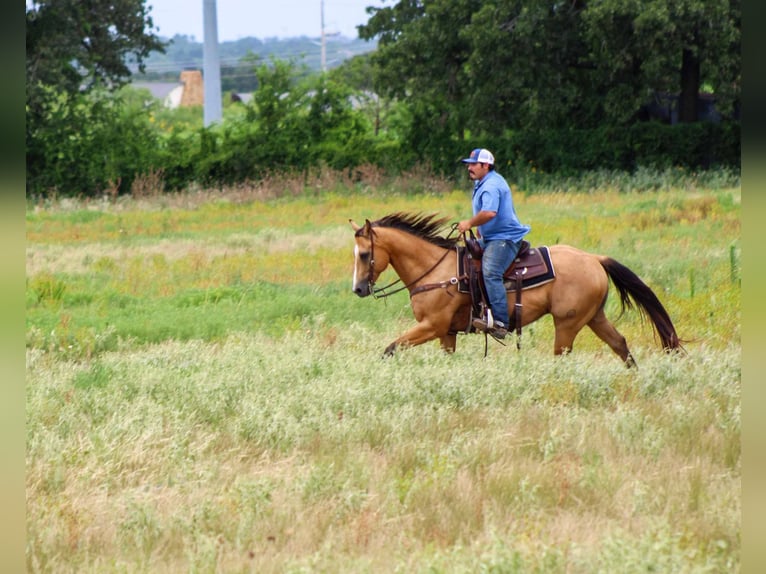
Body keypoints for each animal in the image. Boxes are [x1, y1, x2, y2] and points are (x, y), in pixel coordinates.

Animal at [350, 212, 682, 367]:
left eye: (364, 254)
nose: (358, 289)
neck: (436, 270)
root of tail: (594, 259)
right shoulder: (446, 333)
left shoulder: (432, 325)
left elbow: (390, 348)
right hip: (594, 317)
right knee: (620, 345)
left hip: (567, 323)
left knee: (563, 355)